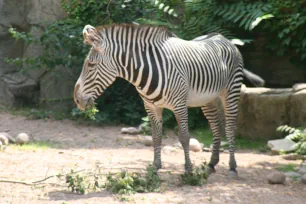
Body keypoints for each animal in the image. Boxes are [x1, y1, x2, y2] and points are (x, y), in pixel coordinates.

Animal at [73, 23, 262, 177]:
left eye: (90, 64)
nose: (76, 99)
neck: (148, 71)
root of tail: (224, 38)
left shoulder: (179, 105)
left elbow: (184, 137)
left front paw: (188, 170)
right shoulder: (151, 106)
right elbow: (156, 137)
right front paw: (155, 167)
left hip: (230, 92)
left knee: (230, 128)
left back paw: (232, 167)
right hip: (209, 99)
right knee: (217, 126)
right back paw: (211, 164)